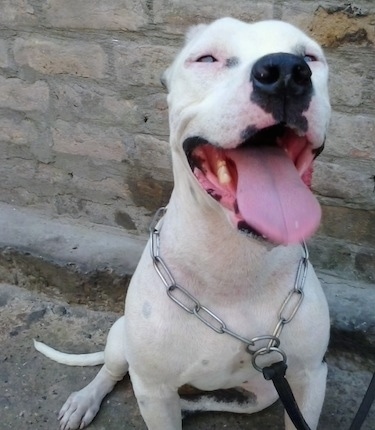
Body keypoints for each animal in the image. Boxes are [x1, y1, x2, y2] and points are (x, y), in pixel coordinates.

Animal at [36, 18, 332, 430]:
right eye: (206, 58)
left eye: (310, 57)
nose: (287, 72)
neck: (235, 264)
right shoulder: (153, 388)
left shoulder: (308, 378)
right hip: (122, 339)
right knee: (111, 371)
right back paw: (85, 399)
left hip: (266, 391)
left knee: (219, 399)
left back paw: (191, 404)